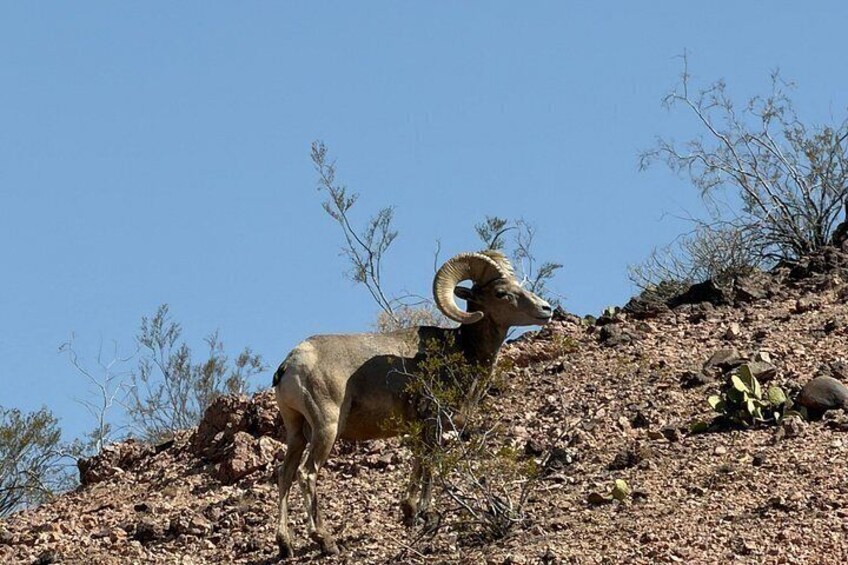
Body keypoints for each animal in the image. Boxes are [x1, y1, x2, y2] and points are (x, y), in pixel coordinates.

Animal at [272, 251, 552, 557]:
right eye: (501, 293)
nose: (546, 309)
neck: (462, 350)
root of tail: (291, 363)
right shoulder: (434, 420)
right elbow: (430, 462)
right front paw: (427, 514)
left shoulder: (420, 427)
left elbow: (419, 461)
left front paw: (410, 511)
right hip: (326, 428)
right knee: (306, 473)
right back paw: (325, 540)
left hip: (296, 432)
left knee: (285, 475)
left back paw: (285, 545)